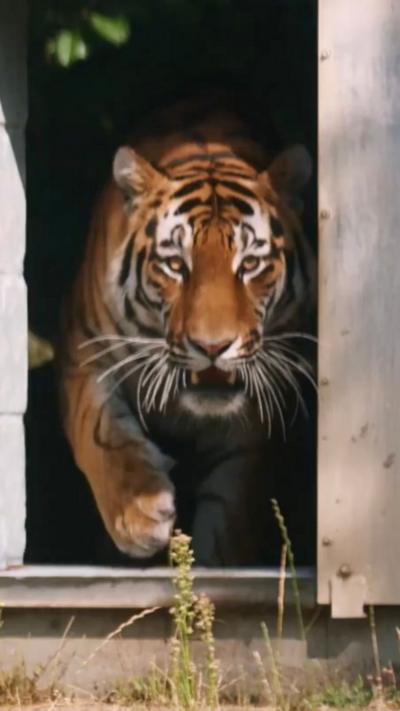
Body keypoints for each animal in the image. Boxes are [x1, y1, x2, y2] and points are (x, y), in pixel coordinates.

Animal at [59, 96, 316, 566]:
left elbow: (233, 509)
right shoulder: (84, 350)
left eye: (250, 264)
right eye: (176, 265)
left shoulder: (256, 417)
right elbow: (99, 433)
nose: (212, 346)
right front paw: (140, 513)